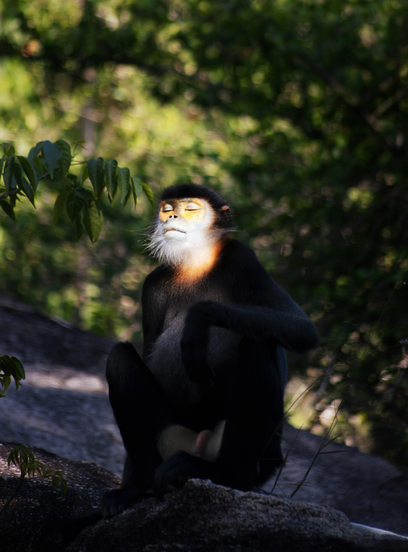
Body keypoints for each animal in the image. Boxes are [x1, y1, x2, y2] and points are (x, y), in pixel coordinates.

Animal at [64, 183, 318, 540]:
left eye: (190, 209)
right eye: (167, 208)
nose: (170, 218)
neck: (196, 262)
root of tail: (199, 443)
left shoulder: (242, 257)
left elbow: (301, 328)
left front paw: (199, 318)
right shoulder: (152, 285)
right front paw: (127, 489)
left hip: (241, 447)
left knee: (258, 341)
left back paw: (227, 474)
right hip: (172, 437)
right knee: (119, 359)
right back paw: (140, 487)